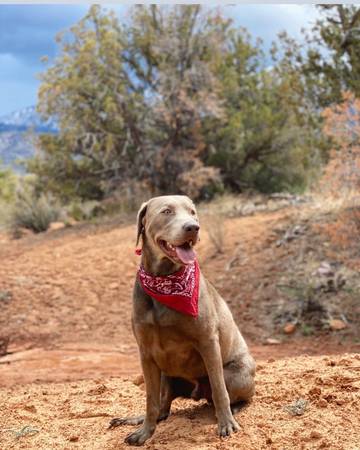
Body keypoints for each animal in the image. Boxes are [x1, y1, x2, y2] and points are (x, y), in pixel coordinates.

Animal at [109, 195, 256, 444]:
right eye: (166, 211)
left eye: (193, 212)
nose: (193, 228)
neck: (165, 280)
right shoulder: (145, 353)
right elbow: (150, 399)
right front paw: (144, 433)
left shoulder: (208, 342)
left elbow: (219, 390)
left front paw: (226, 424)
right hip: (167, 375)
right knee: (163, 408)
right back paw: (136, 419)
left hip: (235, 373)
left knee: (230, 395)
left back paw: (232, 410)